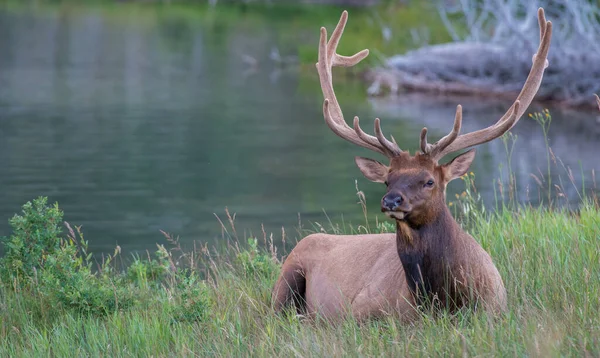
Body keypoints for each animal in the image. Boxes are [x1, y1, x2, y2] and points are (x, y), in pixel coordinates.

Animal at [274, 9, 552, 320]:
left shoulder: (496, 307)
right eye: (387, 179)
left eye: (429, 180)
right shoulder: (359, 308)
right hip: (287, 273)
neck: (442, 300)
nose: (391, 200)